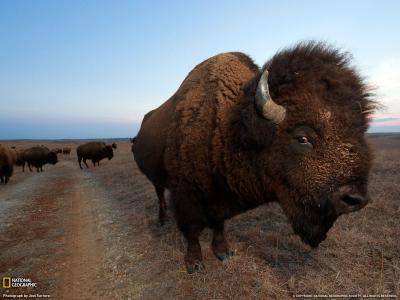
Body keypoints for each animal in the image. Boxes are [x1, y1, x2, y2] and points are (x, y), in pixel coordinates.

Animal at [134, 41, 378, 274]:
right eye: (302, 138)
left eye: (360, 132)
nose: (355, 199)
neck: (228, 126)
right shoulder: (185, 193)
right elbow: (192, 229)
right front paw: (194, 264)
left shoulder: (219, 198)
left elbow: (219, 223)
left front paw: (224, 253)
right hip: (156, 179)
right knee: (160, 194)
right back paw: (162, 220)